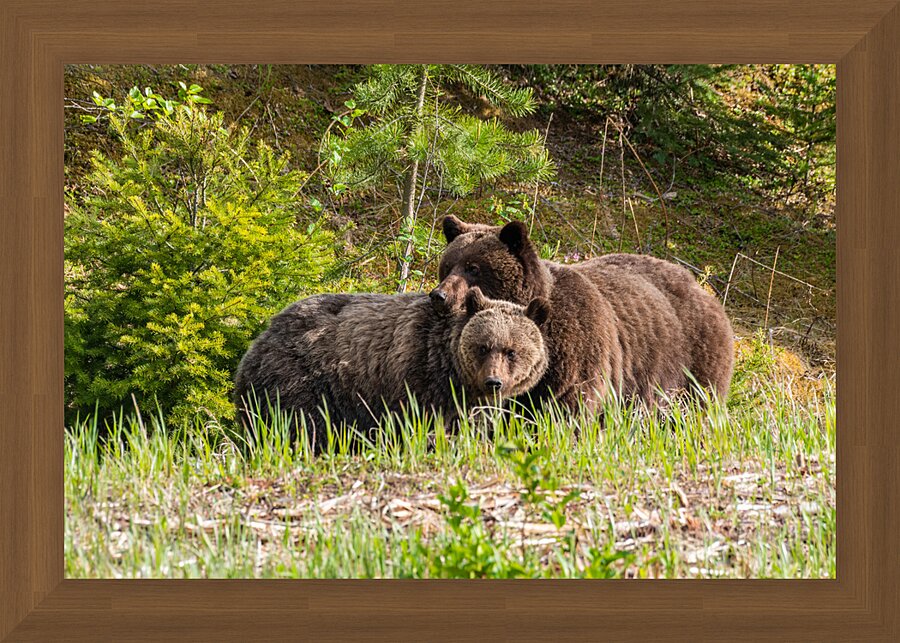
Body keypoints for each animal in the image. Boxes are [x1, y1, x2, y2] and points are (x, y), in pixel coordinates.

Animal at [233, 287, 550, 451]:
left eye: (512, 351)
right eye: (483, 346)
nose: (493, 382)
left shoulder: (468, 402)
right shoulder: (414, 375)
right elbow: (417, 423)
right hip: (301, 379)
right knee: (302, 425)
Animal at [429, 215, 734, 411]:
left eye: (474, 268)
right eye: (447, 266)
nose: (439, 296)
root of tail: (702, 289)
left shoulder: (577, 351)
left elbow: (569, 405)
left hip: (690, 362)